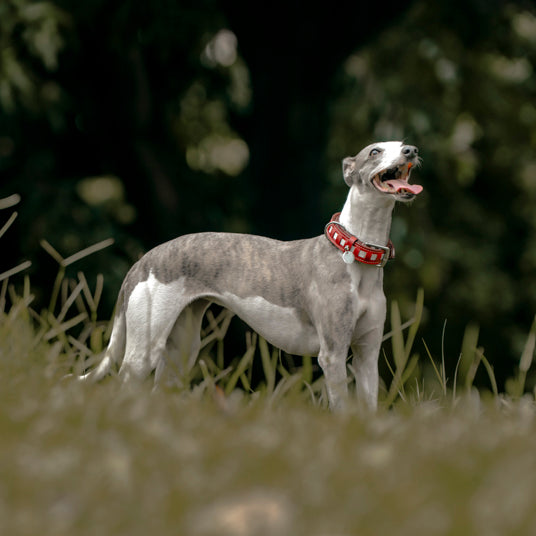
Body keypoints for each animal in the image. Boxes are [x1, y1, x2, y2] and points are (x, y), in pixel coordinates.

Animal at [79, 141, 422, 410]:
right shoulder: (333, 353)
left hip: (180, 347)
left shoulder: (367, 354)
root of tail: (142, 261)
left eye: (403, 143)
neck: (354, 252)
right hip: (144, 349)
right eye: (375, 151)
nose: (412, 151)